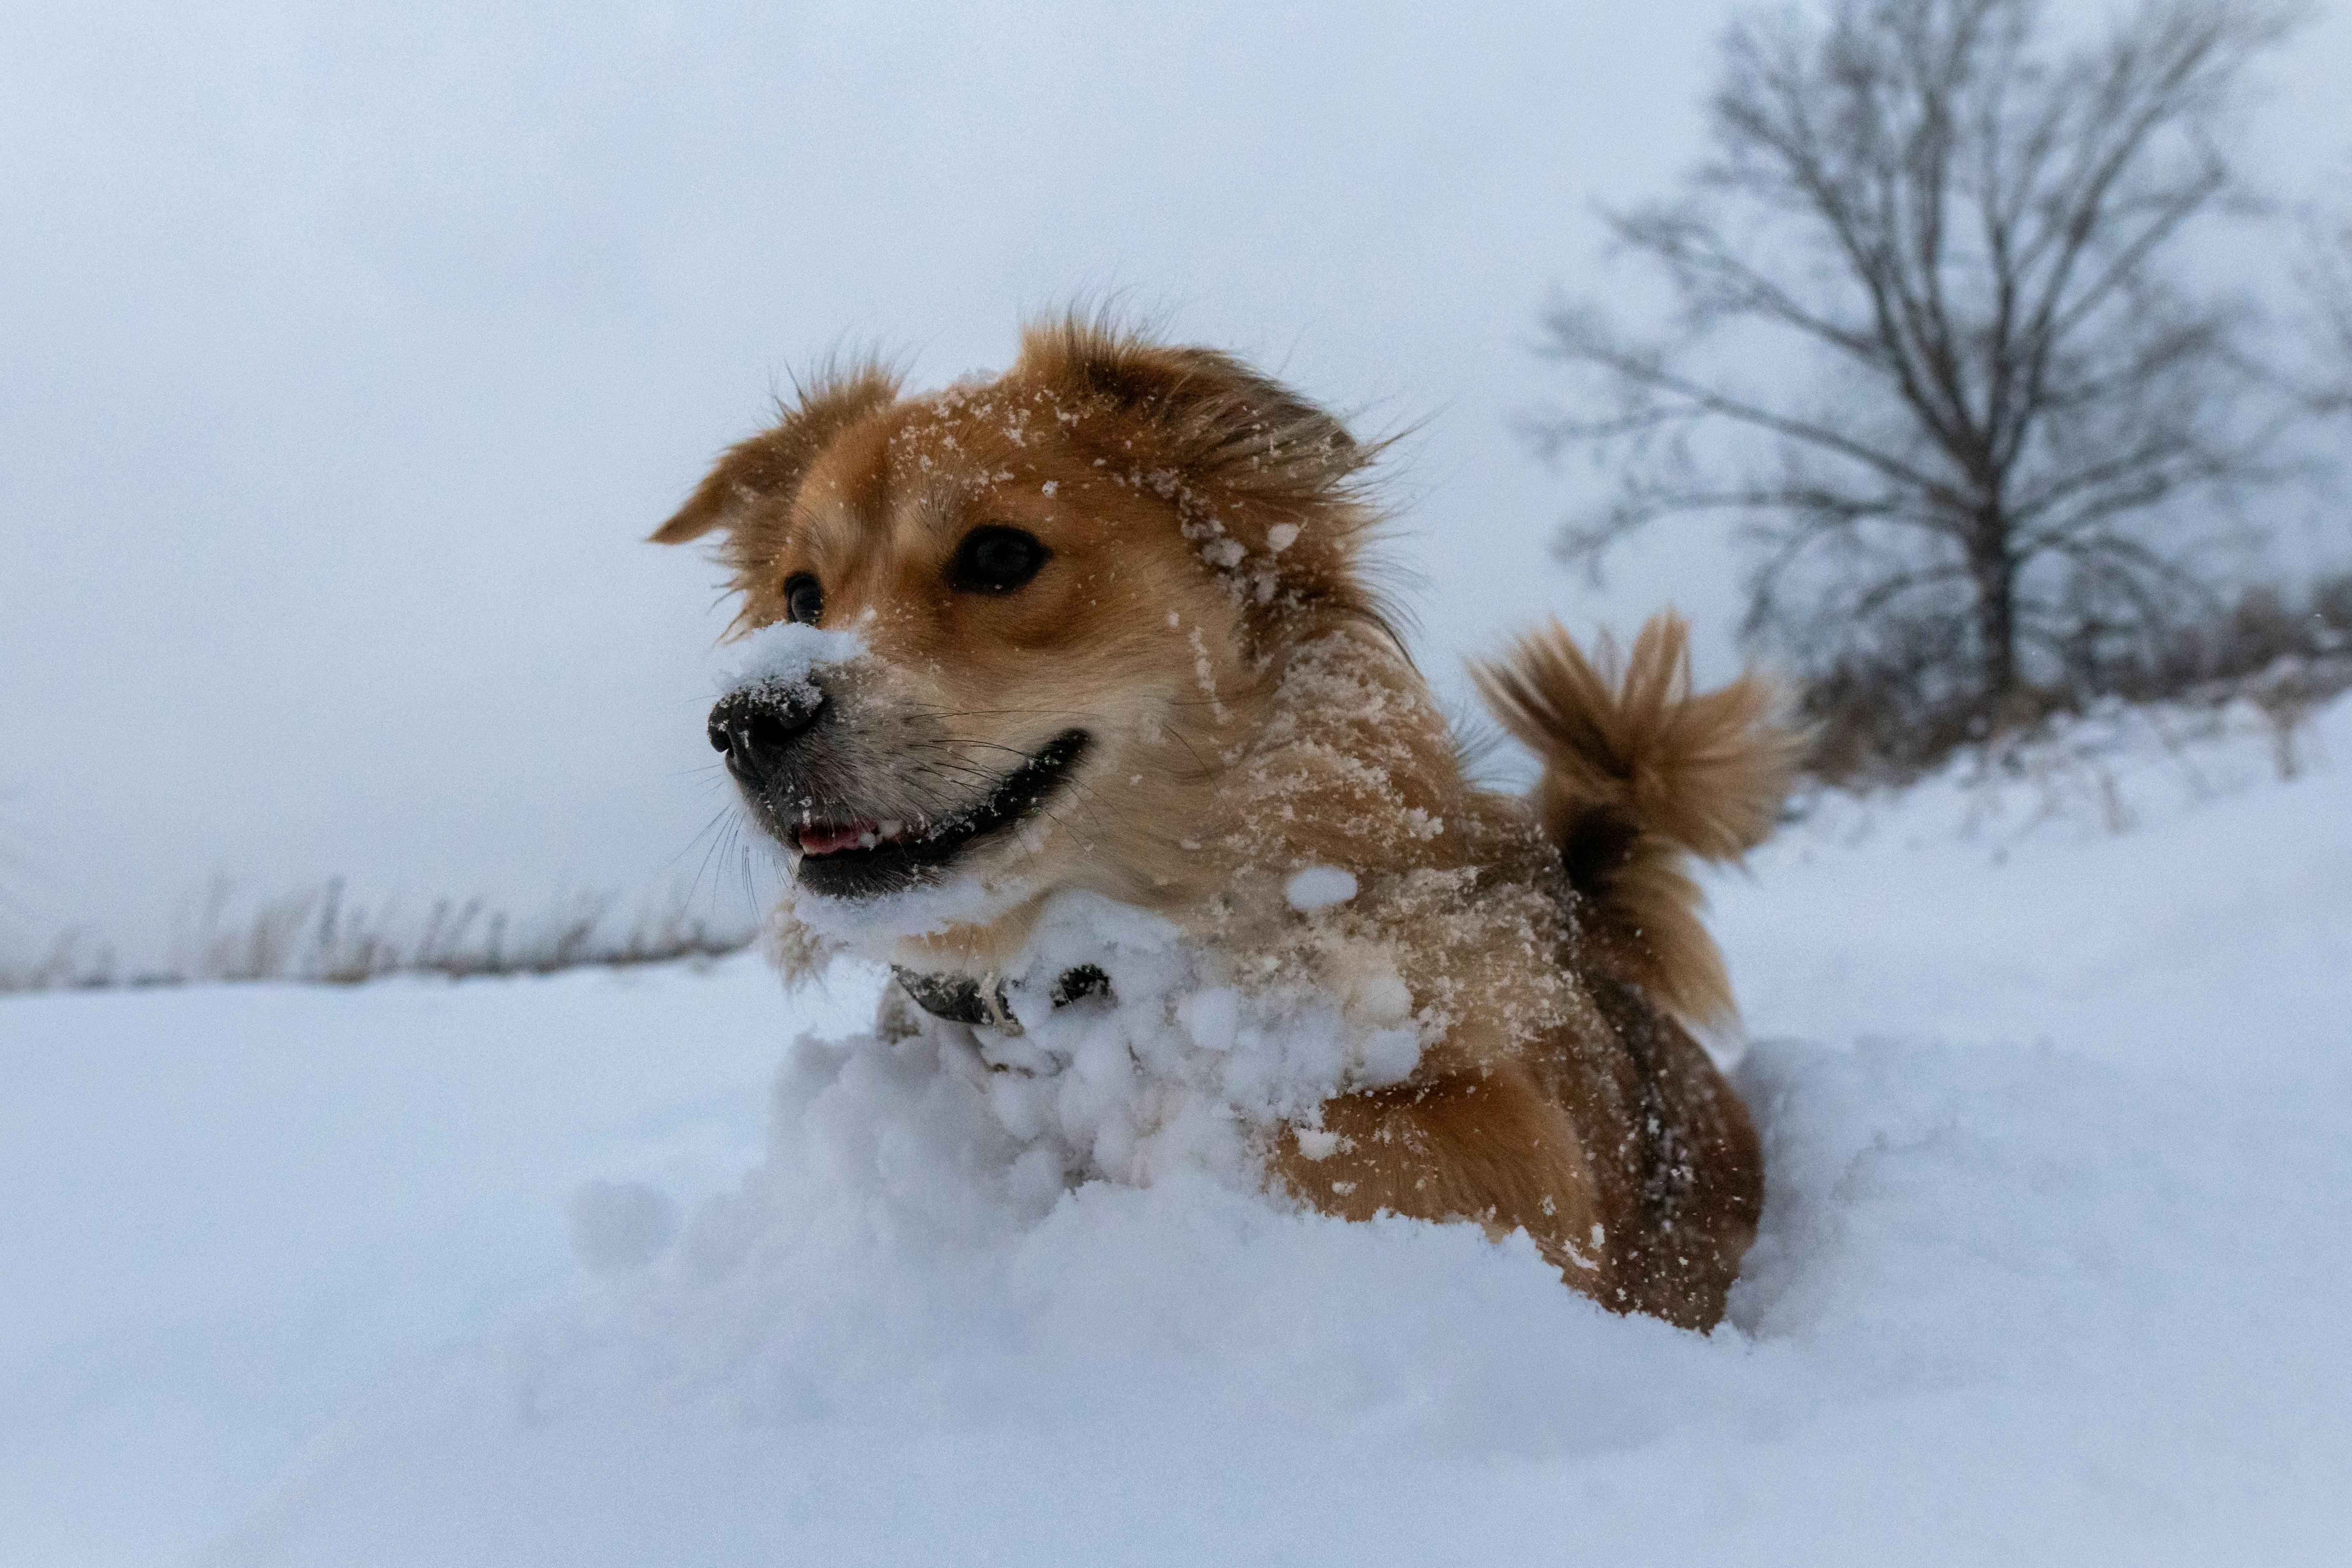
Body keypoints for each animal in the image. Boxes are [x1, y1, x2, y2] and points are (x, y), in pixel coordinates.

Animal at [654, 319, 1787, 1335]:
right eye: (802, 595)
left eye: (1000, 554)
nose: (746, 720)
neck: (1096, 985)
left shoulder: (1516, 1151)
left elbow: (1329, 1145)